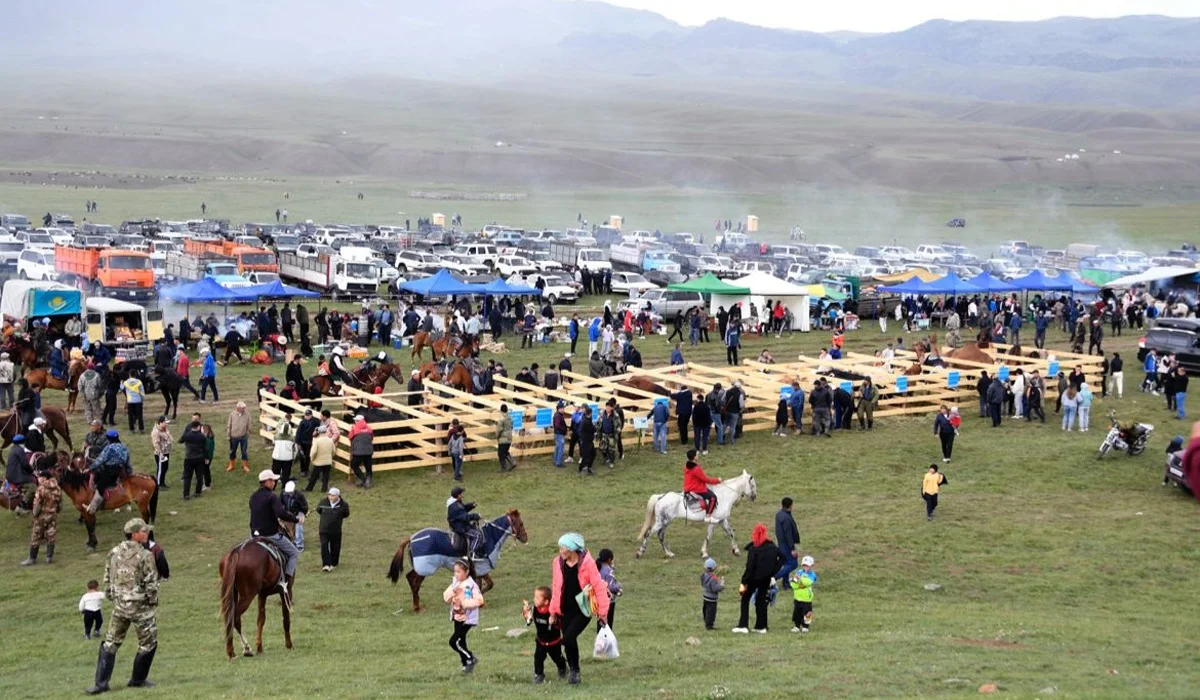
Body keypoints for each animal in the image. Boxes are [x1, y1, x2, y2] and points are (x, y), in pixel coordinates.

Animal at [386, 509, 528, 614]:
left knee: (410, 578)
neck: (489, 537)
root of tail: (411, 538)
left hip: (419, 568)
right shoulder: (481, 567)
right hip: (425, 568)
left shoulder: (478, 569)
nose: (525, 538)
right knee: (415, 583)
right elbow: (486, 585)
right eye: (520, 523)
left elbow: (483, 584)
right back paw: (417, 608)